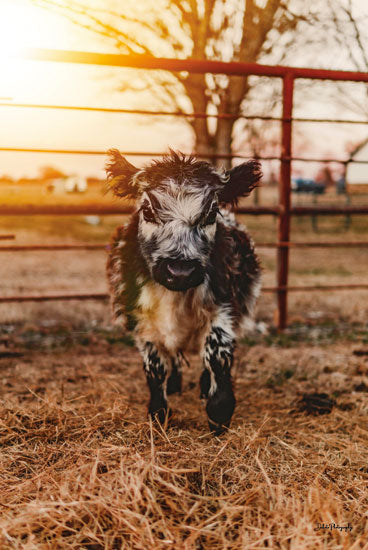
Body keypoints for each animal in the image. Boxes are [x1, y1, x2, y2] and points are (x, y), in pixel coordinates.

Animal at [106, 150, 262, 436]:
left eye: (212, 212)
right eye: (148, 209)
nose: (180, 270)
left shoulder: (225, 306)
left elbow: (216, 352)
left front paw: (219, 410)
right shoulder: (140, 319)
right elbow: (155, 366)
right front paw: (159, 412)